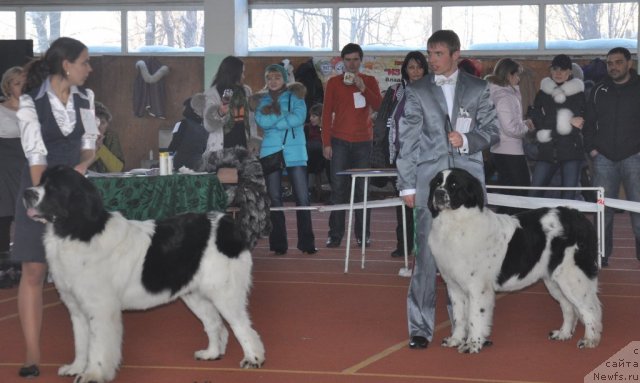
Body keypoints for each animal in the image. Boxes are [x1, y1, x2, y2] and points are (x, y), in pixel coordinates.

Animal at [24, 166, 264, 383]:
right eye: (40, 182)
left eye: (54, 188)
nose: (27, 193)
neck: (76, 231)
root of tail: (227, 223)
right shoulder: (76, 308)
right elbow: (82, 343)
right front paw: (76, 367)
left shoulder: (100, 309)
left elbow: (98, 345)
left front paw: (93, 374)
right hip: (194, 295)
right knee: (215, 324)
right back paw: (212, 354)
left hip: (225, 292)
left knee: (242, 326)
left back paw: (253, 359)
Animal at [428, 170, 604, 356]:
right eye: (437, 183)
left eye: (454, 185)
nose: (438, 193)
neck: (454, 224)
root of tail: (579, 217)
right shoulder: (454, 286)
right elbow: (459, 317)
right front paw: (455, 339)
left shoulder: (477, 287)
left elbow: (475, 317)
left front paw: (472, 344)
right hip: (554, 281)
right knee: (569, 307)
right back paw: (563, 333)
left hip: (572, 276)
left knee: (590, 307)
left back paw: (590, 339)